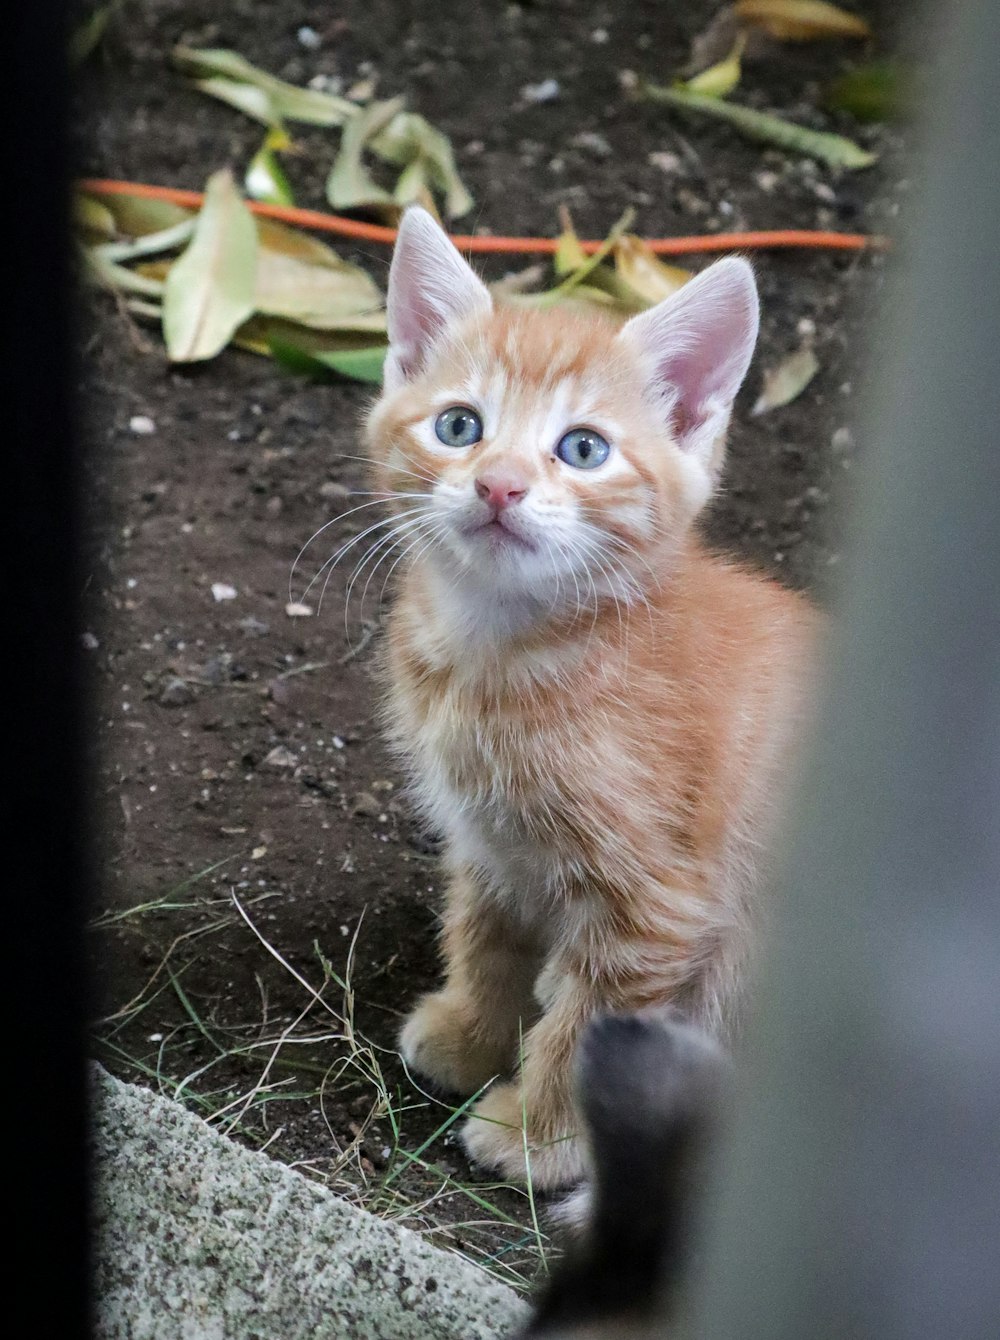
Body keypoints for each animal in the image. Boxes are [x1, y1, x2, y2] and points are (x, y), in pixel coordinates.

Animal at [361, 203, 815, 1189]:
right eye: (460, 425)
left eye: (583, 449)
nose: (499, 484)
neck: (501, 654)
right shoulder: (490, 838)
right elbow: (484, 932)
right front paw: (471, 1035)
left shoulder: (656, 901)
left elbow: (597, 1021)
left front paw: (538, 1137)